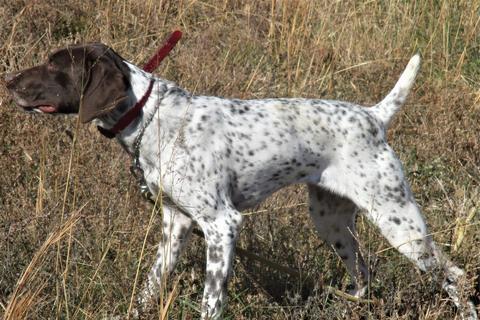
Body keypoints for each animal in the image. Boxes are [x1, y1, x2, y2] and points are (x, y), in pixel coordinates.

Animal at [3, 43, 476, 320]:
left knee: (455, 276)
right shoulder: (175, 225)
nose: (8, 81)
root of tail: (374, 116)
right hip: (331, 222)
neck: (153, 118)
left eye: (54, 65)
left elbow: (211, 300)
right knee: (362, 269)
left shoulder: (221, 224)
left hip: (400, 223)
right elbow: (151, 285)